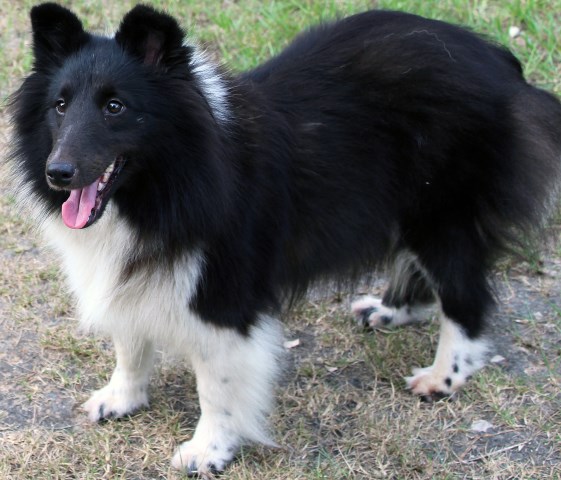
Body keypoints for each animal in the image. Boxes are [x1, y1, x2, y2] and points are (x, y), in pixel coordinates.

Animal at [8, 2, 560, 476]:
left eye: (116, 107)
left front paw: (207, 451)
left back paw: (442, 377)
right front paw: (118, 399)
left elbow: (217, 385)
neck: (164, 181)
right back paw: (388, 310)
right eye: (60, 106)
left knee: (465, 294)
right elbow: (129, 341)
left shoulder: (223, 290)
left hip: (442, 214)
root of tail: (501, 64)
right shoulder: (130, 268)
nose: (58, 173)